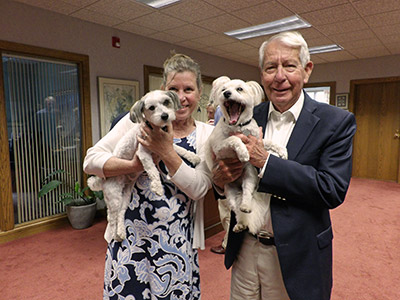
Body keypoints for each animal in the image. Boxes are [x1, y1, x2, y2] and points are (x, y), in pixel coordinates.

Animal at [206, 77, 288, 234]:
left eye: (239, 89)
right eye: (223, 89)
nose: (226, 93)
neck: (239, 126)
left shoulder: (256, 139)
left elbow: (268, 142)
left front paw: (282, 150)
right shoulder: (220, 147)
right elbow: (234, 139)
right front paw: (243, 152)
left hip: (249, 177)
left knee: (246, 194)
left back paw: (246, 206)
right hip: (229, 191)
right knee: (236, 209)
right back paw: (240, 223)